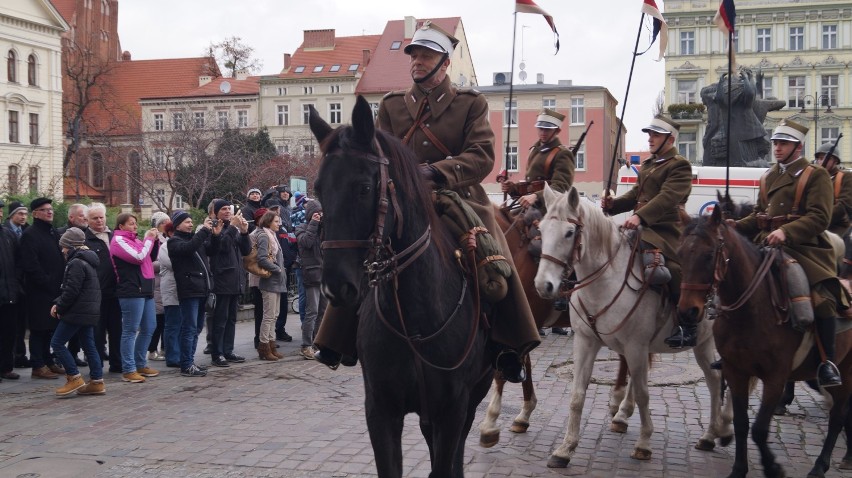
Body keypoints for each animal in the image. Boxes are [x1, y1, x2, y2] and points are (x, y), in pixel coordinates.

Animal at [536, 186, 728, 466]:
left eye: (569, 233)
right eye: (540, 230)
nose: (543, 285)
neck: (606, 282)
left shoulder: (636, 346)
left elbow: (644, 392)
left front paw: (644, 442)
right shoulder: (586, 342)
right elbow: (577, 394)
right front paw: (565, 448)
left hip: (708, 343)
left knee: (716, 380)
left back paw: (717, 430)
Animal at [684, 204, 852, 476]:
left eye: (709, 255)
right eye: (680, 253)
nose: (687, 312)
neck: (751, 311)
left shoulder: (775, 377)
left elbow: (760, 429)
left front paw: (773, 467)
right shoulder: (736, 371)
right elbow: (742, 424)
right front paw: (738, 468)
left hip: (846, 370)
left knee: (838, 415)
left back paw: (820, 465)